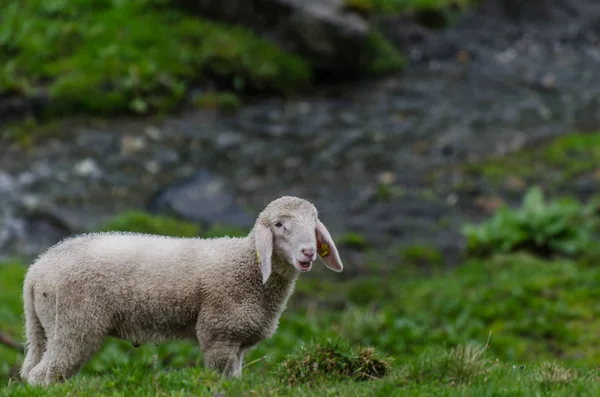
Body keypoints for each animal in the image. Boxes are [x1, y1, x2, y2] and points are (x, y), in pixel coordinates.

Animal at [21, 195, 344, 384]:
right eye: (279, 225)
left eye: (314, 223)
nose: (308, 252)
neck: (247, 267)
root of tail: (35, 270)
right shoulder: (219, 335)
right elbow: (220, 380)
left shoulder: (237, 342)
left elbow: (236, 380)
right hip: (74, 324)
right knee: (43, 375)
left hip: (47, 328)